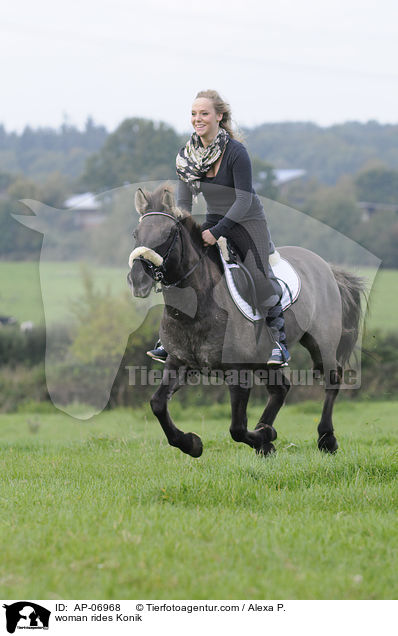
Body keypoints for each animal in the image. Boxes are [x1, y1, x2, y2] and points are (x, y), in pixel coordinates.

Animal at [128, 184, 366, 458]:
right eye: (136, 234)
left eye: (168, 234)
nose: (137, 280)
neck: (196, 308)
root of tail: (327, 267)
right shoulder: (179, 363)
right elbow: (157, 404)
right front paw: (191, 443)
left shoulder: (238, 373)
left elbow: (237, 429)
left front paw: (264, 437)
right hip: (266, 360)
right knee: (281, 388)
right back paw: (267, 433)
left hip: (320, 342)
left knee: (331, 379)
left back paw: (325, 438)